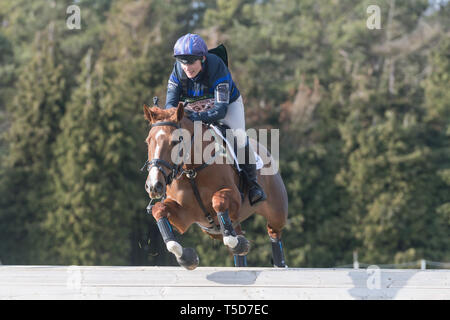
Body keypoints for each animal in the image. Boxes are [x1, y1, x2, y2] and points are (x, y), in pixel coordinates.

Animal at [142, 101, 288, 268]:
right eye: (148, 141)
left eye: (176, 141)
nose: (154, 186)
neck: (192, 171)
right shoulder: (183, 217)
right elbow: (158, 210)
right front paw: (187, 257)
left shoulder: (234, 197)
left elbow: (218, 201)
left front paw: (238, 243)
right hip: (212, 230)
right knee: (235, 235)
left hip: (277, 212)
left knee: (274, 232)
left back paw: (279, 264)